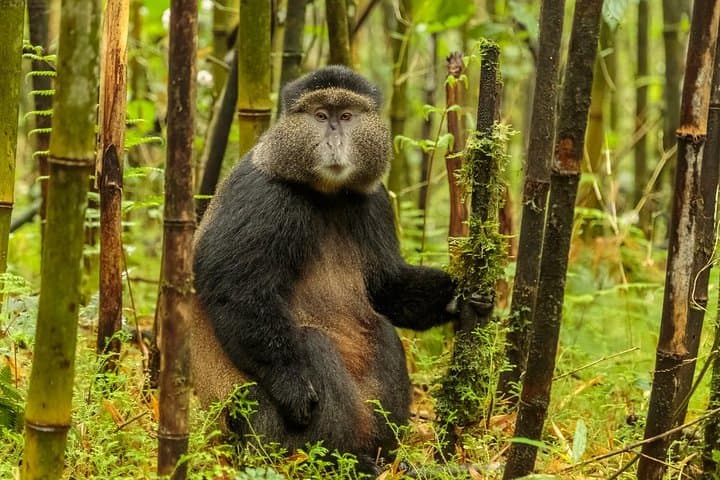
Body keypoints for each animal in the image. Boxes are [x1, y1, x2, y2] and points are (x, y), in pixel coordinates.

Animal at [190, 65, 457, 473]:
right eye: (319, 116)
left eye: (345, 116)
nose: (334, 138)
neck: (327, 195)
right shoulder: (263, 197)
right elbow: (235, 288)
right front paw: (292, 385)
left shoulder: (376, 199)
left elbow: (386, 287)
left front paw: (459, 296)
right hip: (259, 428)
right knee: (310, 342)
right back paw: (341, 460)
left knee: (381, 330)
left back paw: (386, 458)